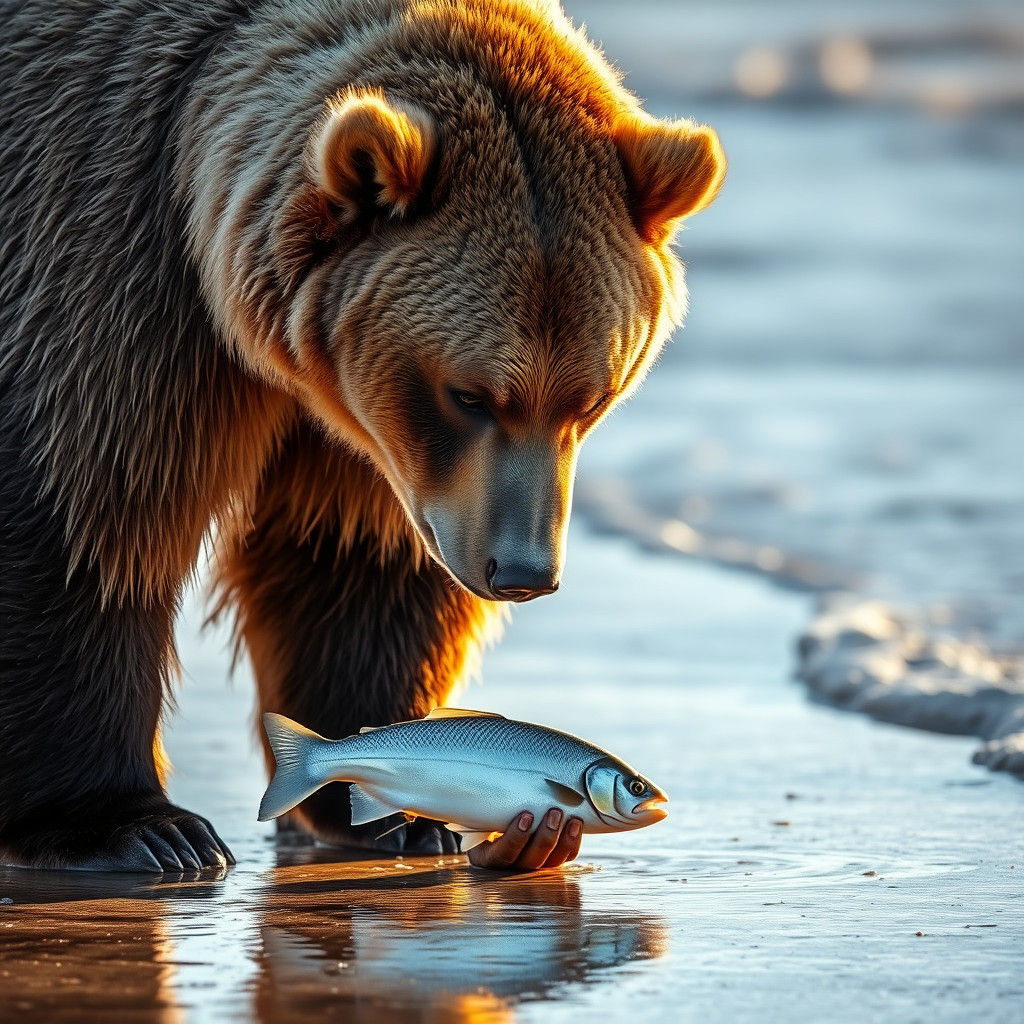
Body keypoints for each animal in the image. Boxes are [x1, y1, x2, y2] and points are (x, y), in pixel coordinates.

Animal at [0, 0, 724, 871]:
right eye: (470, 394)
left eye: (593, 398)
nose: (522, 572)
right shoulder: (101, 254)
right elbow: (91, 514)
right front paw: (137, 825)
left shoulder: (365, 431)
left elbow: (349, 561)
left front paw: (399, 810)